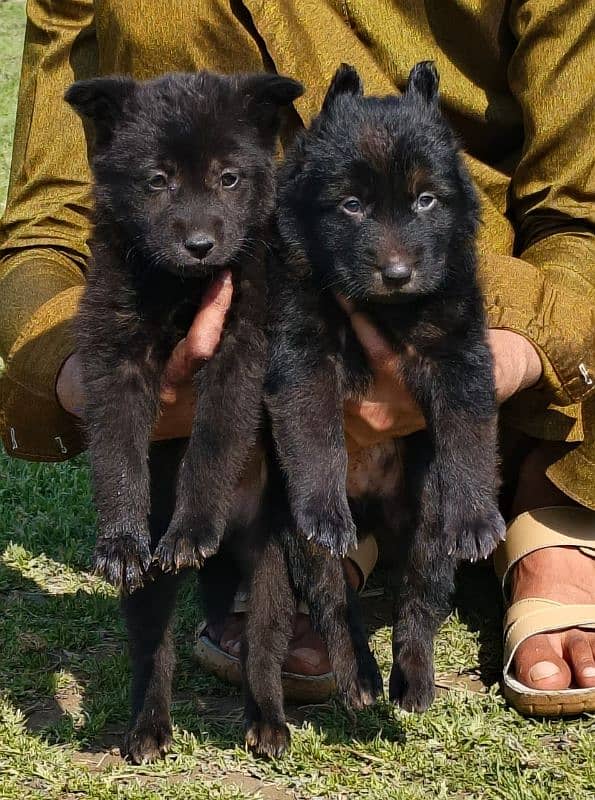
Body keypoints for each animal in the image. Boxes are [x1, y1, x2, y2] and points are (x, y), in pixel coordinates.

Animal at [65, 70, 302, 764]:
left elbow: (214, 442)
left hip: (273, 562)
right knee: (155, 652)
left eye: (229, 178)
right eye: (157, 179)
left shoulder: (242, 347)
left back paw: (268, 722)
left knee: (263, 647)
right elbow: (116, 451)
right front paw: (118, 536)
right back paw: (148, 726)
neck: (182, 286)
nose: (200, 245)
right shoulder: (112, 354)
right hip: (155, 591)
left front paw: (193, 526)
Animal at [258, 62, 506, 716]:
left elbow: (469, 436)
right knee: (331, 602)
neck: (388, 310)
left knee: (419, 598)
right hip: (306, 544)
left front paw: (479, 516)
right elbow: (314, 436)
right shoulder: (300, 352)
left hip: (428, 520)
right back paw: (360, 678)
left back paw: (413, 679)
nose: (397, 274)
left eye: (425, 200)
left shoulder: (462, 352)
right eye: (350, 205)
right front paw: (322, 504)